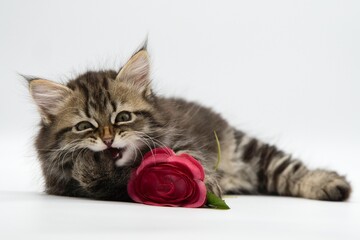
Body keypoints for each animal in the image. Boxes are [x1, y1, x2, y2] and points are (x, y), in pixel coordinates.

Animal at [28, 44, 352, 202]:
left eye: (123, 118)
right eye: (84, 126)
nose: (108, 139)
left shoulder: (180, 140)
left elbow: (191, 160)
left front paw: (208, 184)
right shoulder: (72, 186)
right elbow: (94, 179)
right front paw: (89, 164)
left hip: (249, 149)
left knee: (288, 169)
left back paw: (329, 184)